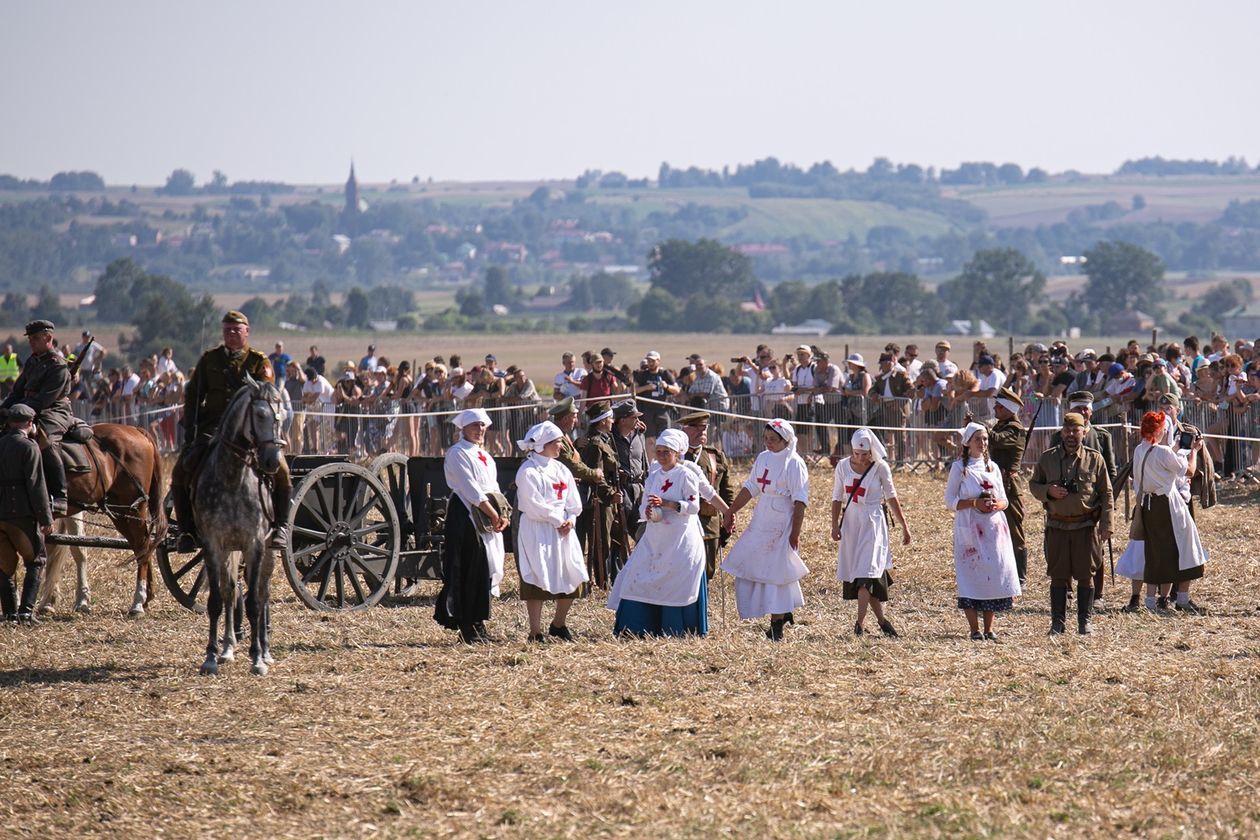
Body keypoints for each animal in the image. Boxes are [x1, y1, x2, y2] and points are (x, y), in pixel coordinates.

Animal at [61, 423, 168, 614]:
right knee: (143, 546)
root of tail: (138, 430)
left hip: (133, 508)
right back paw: (146, 598)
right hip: (120, 512)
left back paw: (138, 603)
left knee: (142, 545)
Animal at [192, 377, 284, 680]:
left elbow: (254, 601)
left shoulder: (255, 544)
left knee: (263, 593)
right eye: (260, 415)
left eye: (281, 417)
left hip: (268, 549)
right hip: (229, 551)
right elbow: (217, 600)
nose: (272, 461)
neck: (232, 477)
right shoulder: (213, 545)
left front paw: (257, 659)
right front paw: (210, 657)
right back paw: (227, 648)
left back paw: (265, 650)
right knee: (230, 590)